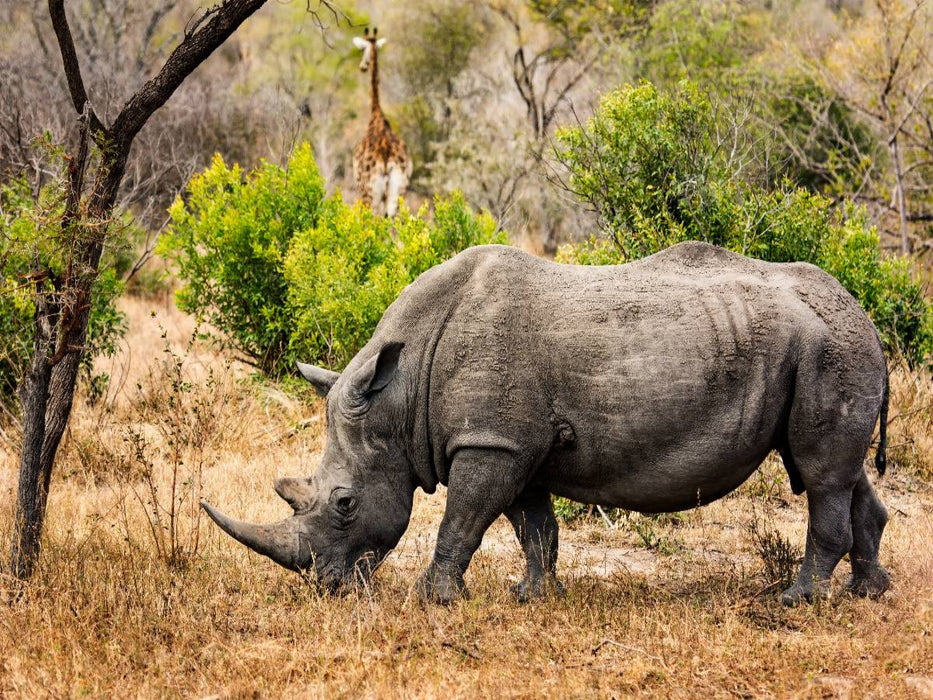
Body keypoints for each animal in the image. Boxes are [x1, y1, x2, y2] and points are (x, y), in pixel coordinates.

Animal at [351, 28, 412, 218]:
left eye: (361, 49)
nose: (362, 67)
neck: (376, 113)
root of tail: (386, 159)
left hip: (370, 192)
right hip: (399, 190)